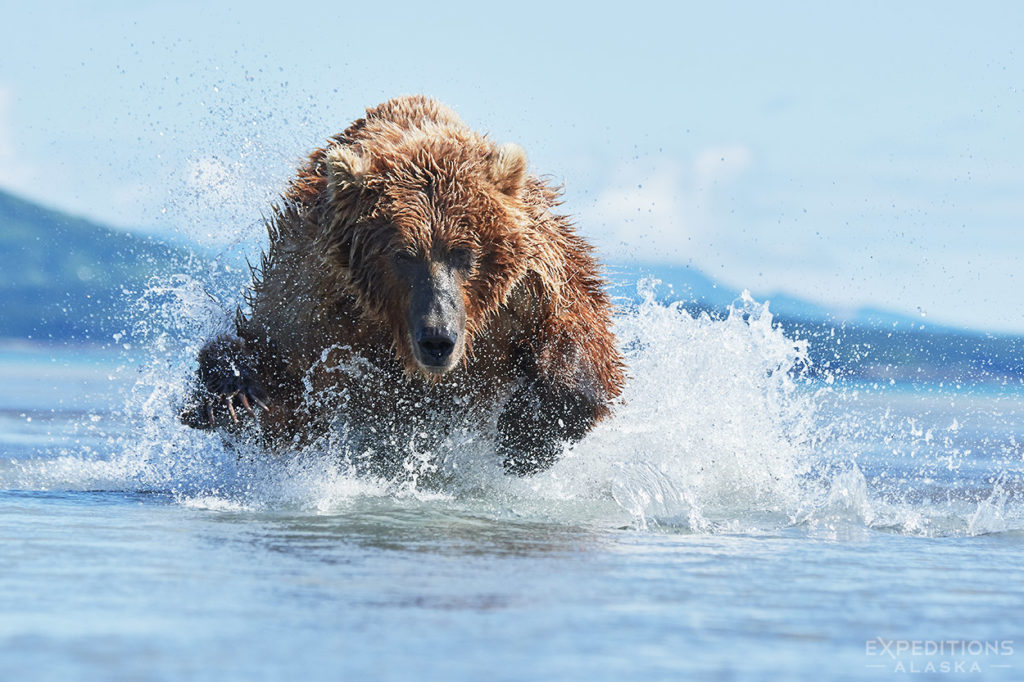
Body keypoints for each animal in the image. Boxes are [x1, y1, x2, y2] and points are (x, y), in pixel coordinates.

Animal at [186, 95, 622, 475]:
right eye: (403, 254)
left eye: (464, 253)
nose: (437, 339)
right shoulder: (313, 299)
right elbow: (278, 383)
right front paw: (236, 394)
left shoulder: (529, 286)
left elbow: (584, 332)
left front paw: (527, 432)